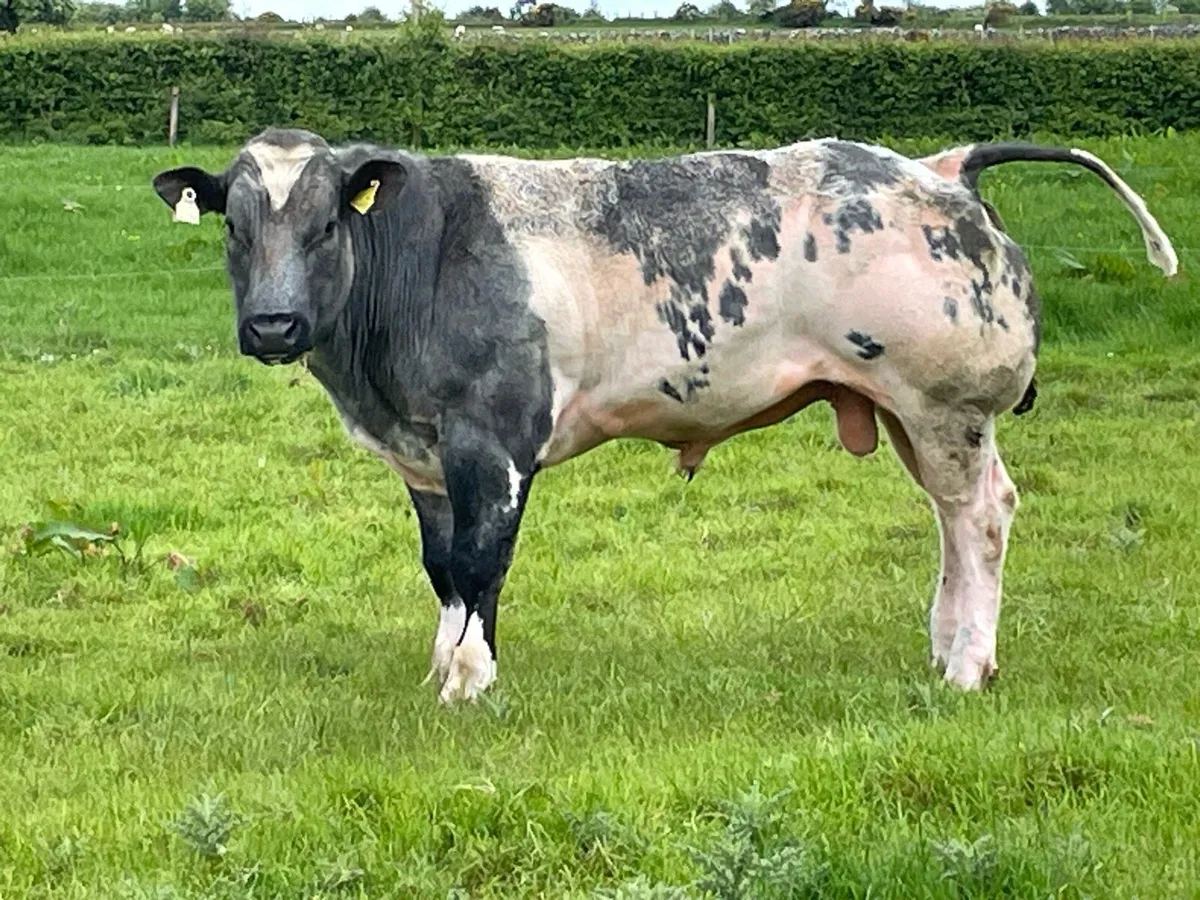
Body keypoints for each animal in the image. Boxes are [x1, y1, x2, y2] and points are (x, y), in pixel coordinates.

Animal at [152, 129, 1176, 704]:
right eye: (235, 227)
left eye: (327, 223)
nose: (273, 325)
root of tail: (942, 168)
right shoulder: (427, 459)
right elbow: (445, 571)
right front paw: (442, 668)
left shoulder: (496, 442)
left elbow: (484, 565)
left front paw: (470, 686)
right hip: (907, 414)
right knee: (952, 521)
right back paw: (943, 649)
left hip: (947, 405)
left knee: (983, 518)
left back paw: (969, 667)